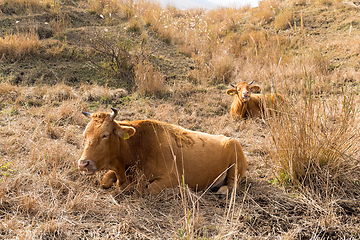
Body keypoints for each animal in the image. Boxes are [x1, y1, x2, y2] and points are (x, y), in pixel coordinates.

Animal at [78, 108, 248, 196]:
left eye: (105, 135)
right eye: (85, 135)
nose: (83, 164)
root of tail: (231, 139)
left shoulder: (173, 179)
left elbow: (148, 189)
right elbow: (105, 180)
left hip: (235, 165)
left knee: (232, 185)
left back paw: (222, 190)